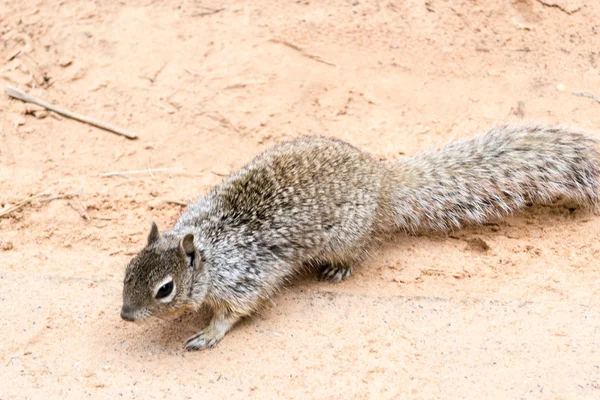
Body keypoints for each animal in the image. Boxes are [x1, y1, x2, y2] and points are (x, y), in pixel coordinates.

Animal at [120, 125, 600, 350]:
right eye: (125, 272)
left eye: (165, 289)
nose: (125, 316)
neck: (209, 247)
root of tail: (382, 179)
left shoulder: (247, 278)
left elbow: (235, 312)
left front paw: (208, 333)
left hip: (343, 239)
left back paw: (339, 269)